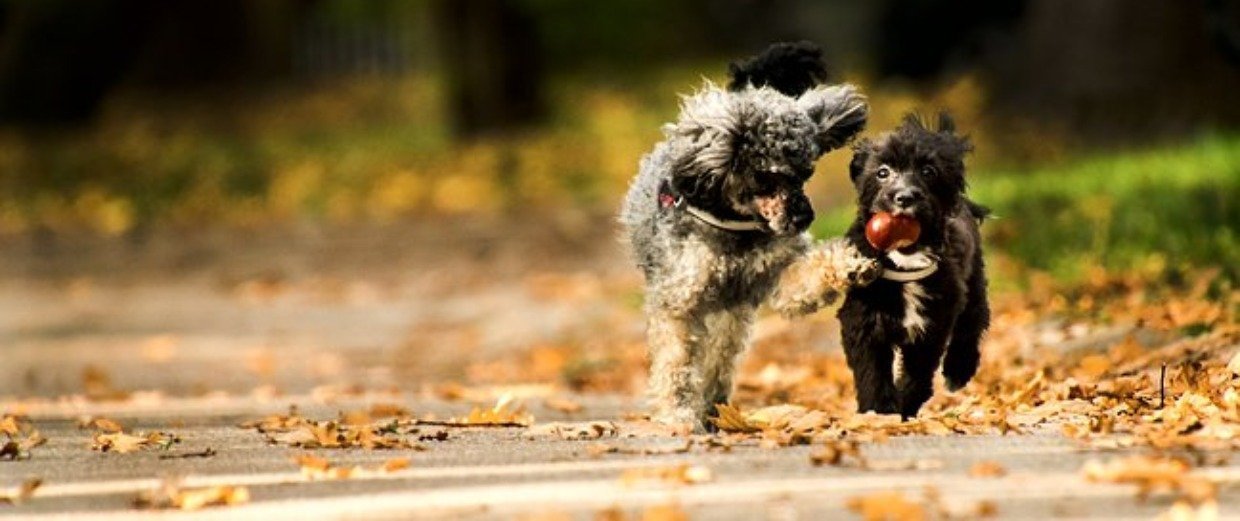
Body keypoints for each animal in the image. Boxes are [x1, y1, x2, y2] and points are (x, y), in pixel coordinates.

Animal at [624, 42, 877, 429]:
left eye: (806, 173)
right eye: (766, 176)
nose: (804, 217)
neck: (734, 226)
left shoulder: (775, 275)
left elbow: (807, 275)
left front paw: (850, 265)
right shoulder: (678, 301)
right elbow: (676, 362)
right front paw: (678, 414)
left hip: (731, 317)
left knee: (719, 358)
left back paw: (713, 404)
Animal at [838, 112, 992, 419]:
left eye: (929, 172)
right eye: (882, 172)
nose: (905, 197)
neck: (906, 262)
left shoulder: (933, 322)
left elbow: (917, 373)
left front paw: (904, 404)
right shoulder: (861, 320)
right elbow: (872, 371)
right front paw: (878, 411)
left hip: (972, 284)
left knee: (974, 321)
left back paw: (958, 370)